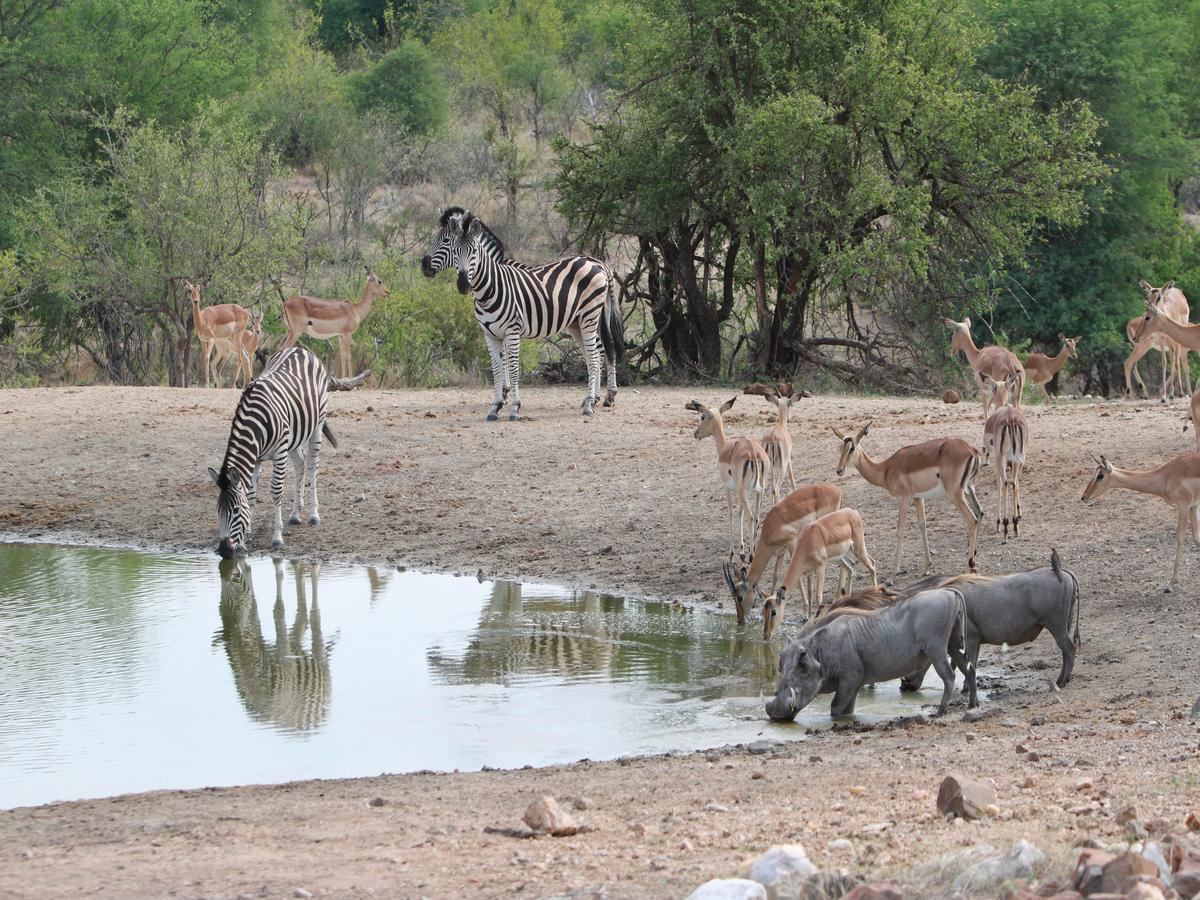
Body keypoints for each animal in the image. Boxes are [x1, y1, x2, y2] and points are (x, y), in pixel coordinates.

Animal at [206, 345, 360, 556]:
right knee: (300, 463)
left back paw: (314, 515)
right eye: (218, 510)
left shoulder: (279, 452)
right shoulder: (257, 457)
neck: (255, 424)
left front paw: (277, 537)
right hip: (294, 436)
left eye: (236, 510)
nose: (224, 551)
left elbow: (276, 491)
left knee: (312, 466)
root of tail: (299, 349)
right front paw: (246, 538)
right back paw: (295, 514)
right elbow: (251, 494)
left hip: (317, 425)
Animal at [422, 208, 624, 422]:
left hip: (589, 316)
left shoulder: (512, 330)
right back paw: (595, 398)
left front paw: (513, 406)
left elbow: (512, 366)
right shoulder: (490, 334)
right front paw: (496, 405)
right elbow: (496, 368)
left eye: (445, 241)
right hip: (576, 322)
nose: (424, 266)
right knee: (594, 353)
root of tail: (597, 263)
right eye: (453, 248)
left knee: (596, 354)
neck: (490, 287)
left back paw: (592, 402)